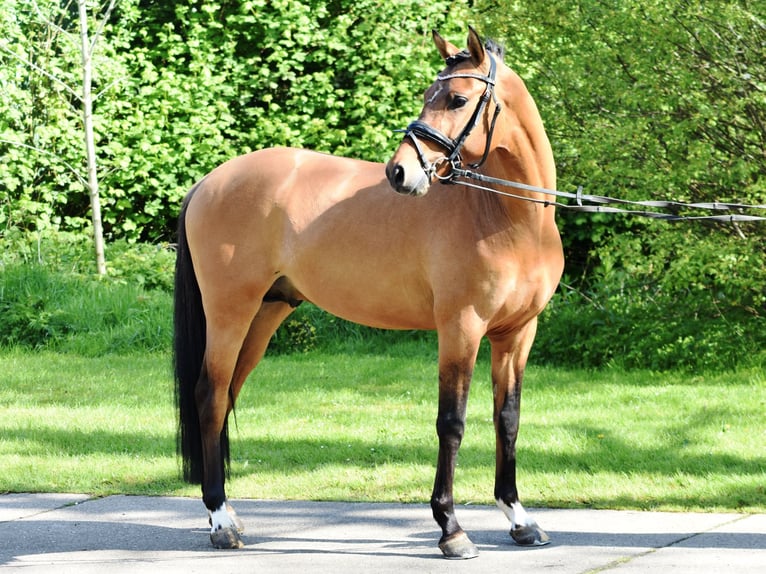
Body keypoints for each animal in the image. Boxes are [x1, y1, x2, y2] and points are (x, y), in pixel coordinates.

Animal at [177, 27, 568, 564]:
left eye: (457, 98)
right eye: (427, 94)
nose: (399, 172)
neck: (507, 218)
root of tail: (208, 182)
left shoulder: (517, 334)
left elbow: (506, 419)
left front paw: (520, 519)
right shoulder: (461, 328)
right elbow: (452, 422)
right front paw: (451, 529)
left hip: (264, 315)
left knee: (225, 395)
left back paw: (227, 514)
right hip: (230, 312)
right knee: (210, 396)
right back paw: (219, 521)